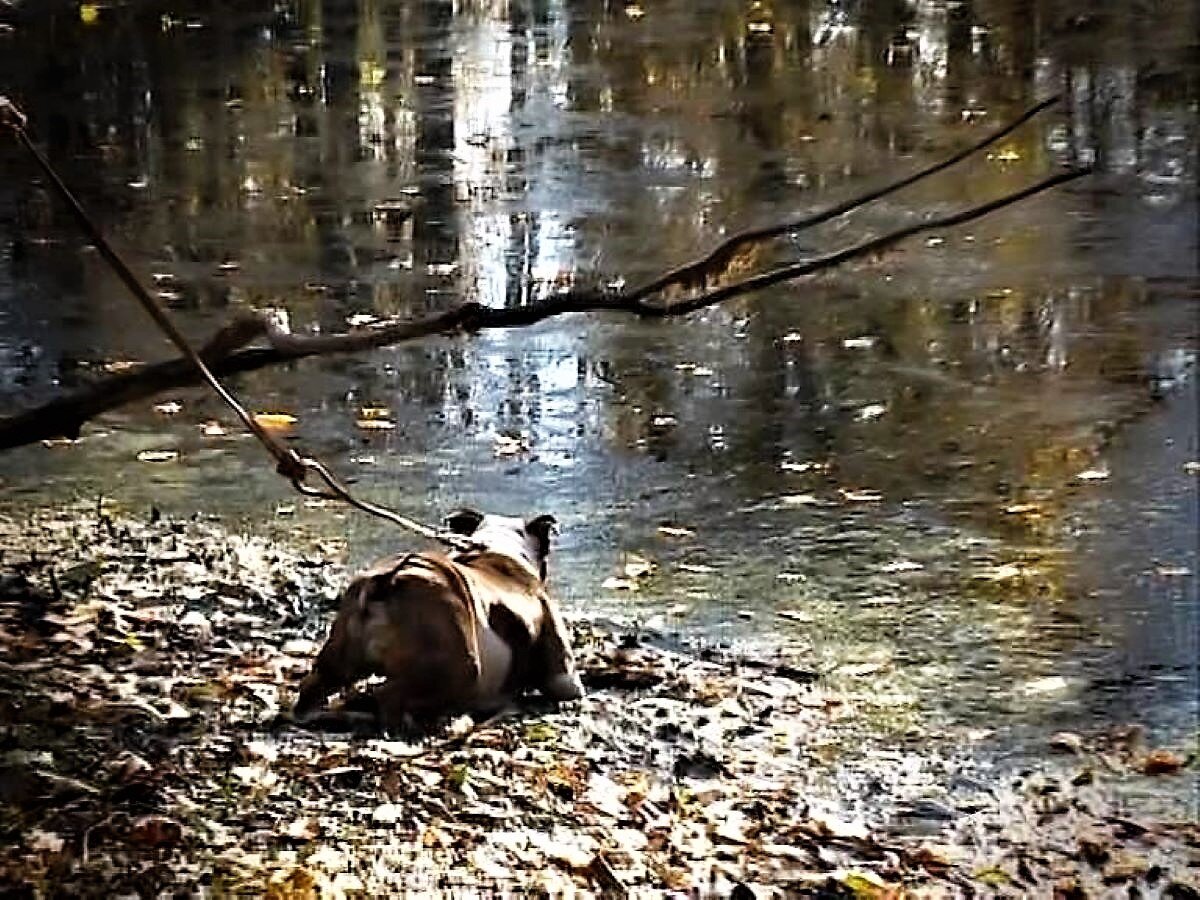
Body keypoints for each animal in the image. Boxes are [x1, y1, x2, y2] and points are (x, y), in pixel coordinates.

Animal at [295, 508, 585, 724]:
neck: (495, 546)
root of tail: (385, 582)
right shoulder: (565, 678)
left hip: (338, 655)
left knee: (315, 685)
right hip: (460, 664)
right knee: (389, 698)